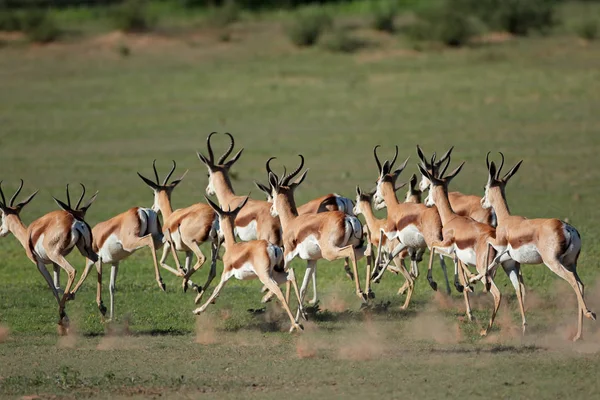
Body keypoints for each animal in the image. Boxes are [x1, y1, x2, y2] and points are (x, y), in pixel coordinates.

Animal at [28, 184, 97, 332]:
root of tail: (76, 223)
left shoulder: (39, 263)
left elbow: (52, 286)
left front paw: (63, 319)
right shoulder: (55, 263)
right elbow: (56, 285)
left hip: (56, 255)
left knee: (72, 270)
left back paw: (62, 311)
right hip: (84, 249)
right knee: (94, 259)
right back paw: (73, 295)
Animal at [137, 160, 220, 304]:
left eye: (154, 194)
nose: (153, 207)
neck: (171, 217)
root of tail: (212, 215)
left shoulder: (168, 245)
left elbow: (163, 262)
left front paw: (181, 280)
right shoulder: (188, 251)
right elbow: (186, 266)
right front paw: (194, 286)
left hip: (192, 242)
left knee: (202, 258)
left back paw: (186, 284)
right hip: (213, 243)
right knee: (212, 271)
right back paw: (198, 296)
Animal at [193, 196, 304, 332]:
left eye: (219, 218)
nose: (217, 235)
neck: (232, 247)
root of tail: (272, 247)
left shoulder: (226, 274)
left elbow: (216, 290)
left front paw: (198, 310)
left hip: (265, 276)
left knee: (278, 290)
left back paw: (296, 325)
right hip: (275, 273)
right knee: (291, 274)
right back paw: (303, 316)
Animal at [270, 154, 368, 316]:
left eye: (272, 194)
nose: (271, 210)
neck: (293, 222)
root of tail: (347, 218)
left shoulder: (287, 257)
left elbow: (286, 278)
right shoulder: (312, 260)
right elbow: (303, 288)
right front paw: (300, 316)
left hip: (331, 252)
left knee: (350, 252)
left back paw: (361, 292)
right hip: (356, 246)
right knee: (368, 251)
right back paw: (368, 293)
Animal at [480, 153, 592, 340]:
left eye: (485, 187)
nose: (482, 202)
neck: (507, 221)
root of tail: (566, 228)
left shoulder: (500, 246)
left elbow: (488, 243)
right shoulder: (508, 255)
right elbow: (506, 274)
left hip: (553, 263)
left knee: (572, 281)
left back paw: (590, 315)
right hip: (571, 263)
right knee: (580, 284)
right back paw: (578, 335)